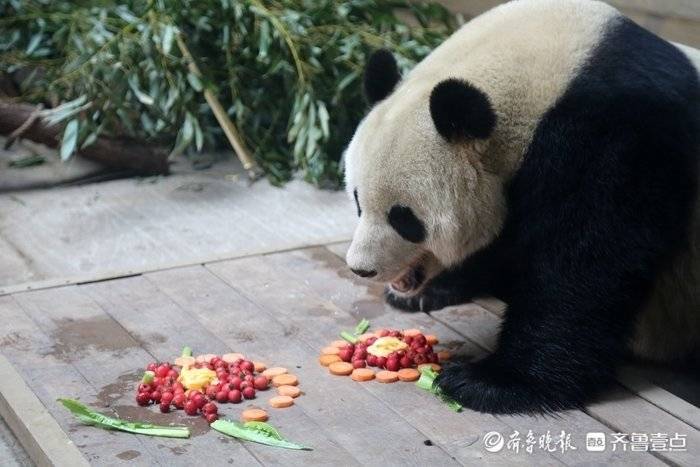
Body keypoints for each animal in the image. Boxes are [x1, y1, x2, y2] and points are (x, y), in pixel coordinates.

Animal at [344, 0, 700, 416]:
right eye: (357, 201)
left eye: (403, 218)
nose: (361, 268)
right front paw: (429, 292)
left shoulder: (617, 143)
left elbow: (584, 265)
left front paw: (491, 381)